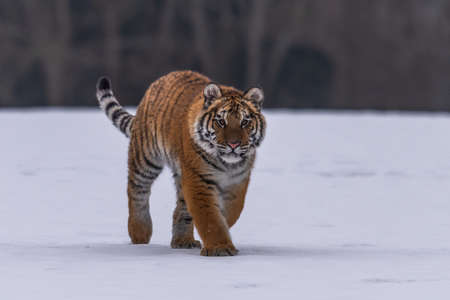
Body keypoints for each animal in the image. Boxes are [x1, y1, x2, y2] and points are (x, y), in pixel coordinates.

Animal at [95, 69, 264, 255]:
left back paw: (183, 240)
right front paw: (220, 248)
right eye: (221, 121)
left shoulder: (237, 181)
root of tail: (164, 77)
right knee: (137, 192)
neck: (227, 165)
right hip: (146, 158)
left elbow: (232, 211)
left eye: (245, 122)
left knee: (180, 207)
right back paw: (140, 233)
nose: (234, 144)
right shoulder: (199, 179)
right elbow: (210, 218)